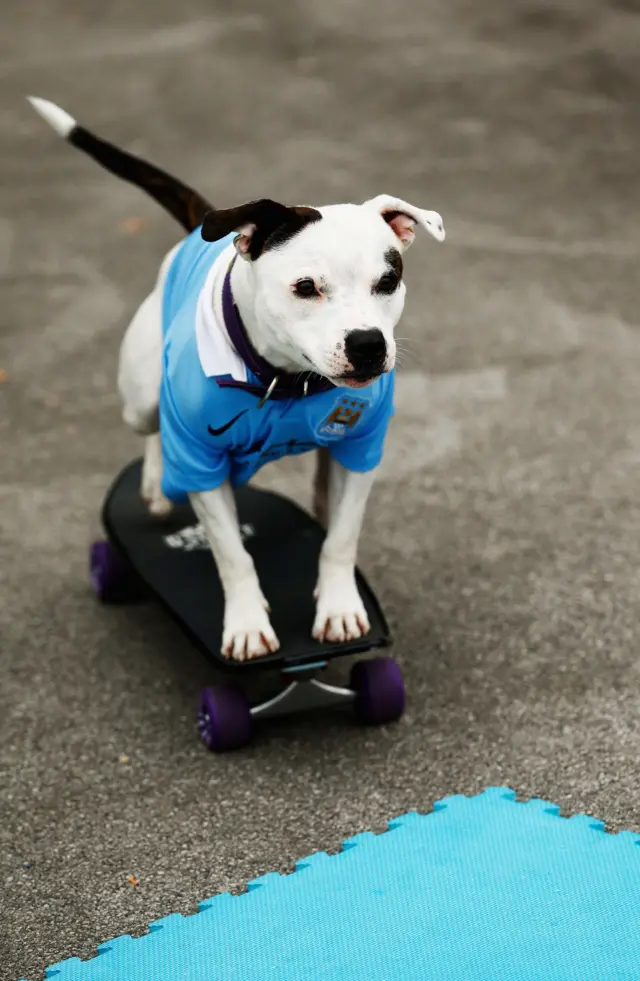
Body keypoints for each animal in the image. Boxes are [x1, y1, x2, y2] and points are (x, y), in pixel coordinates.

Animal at [26, 97, 444, 668]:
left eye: (389, 280)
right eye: (306, 287)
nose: (367, 344)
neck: (287, 382)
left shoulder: (359, 450)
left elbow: (341, 537)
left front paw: (338, 608)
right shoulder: (201, 464)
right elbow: (232, 555)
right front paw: (247, 626)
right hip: (141, 398)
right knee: (153, 428)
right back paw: (155, 485)